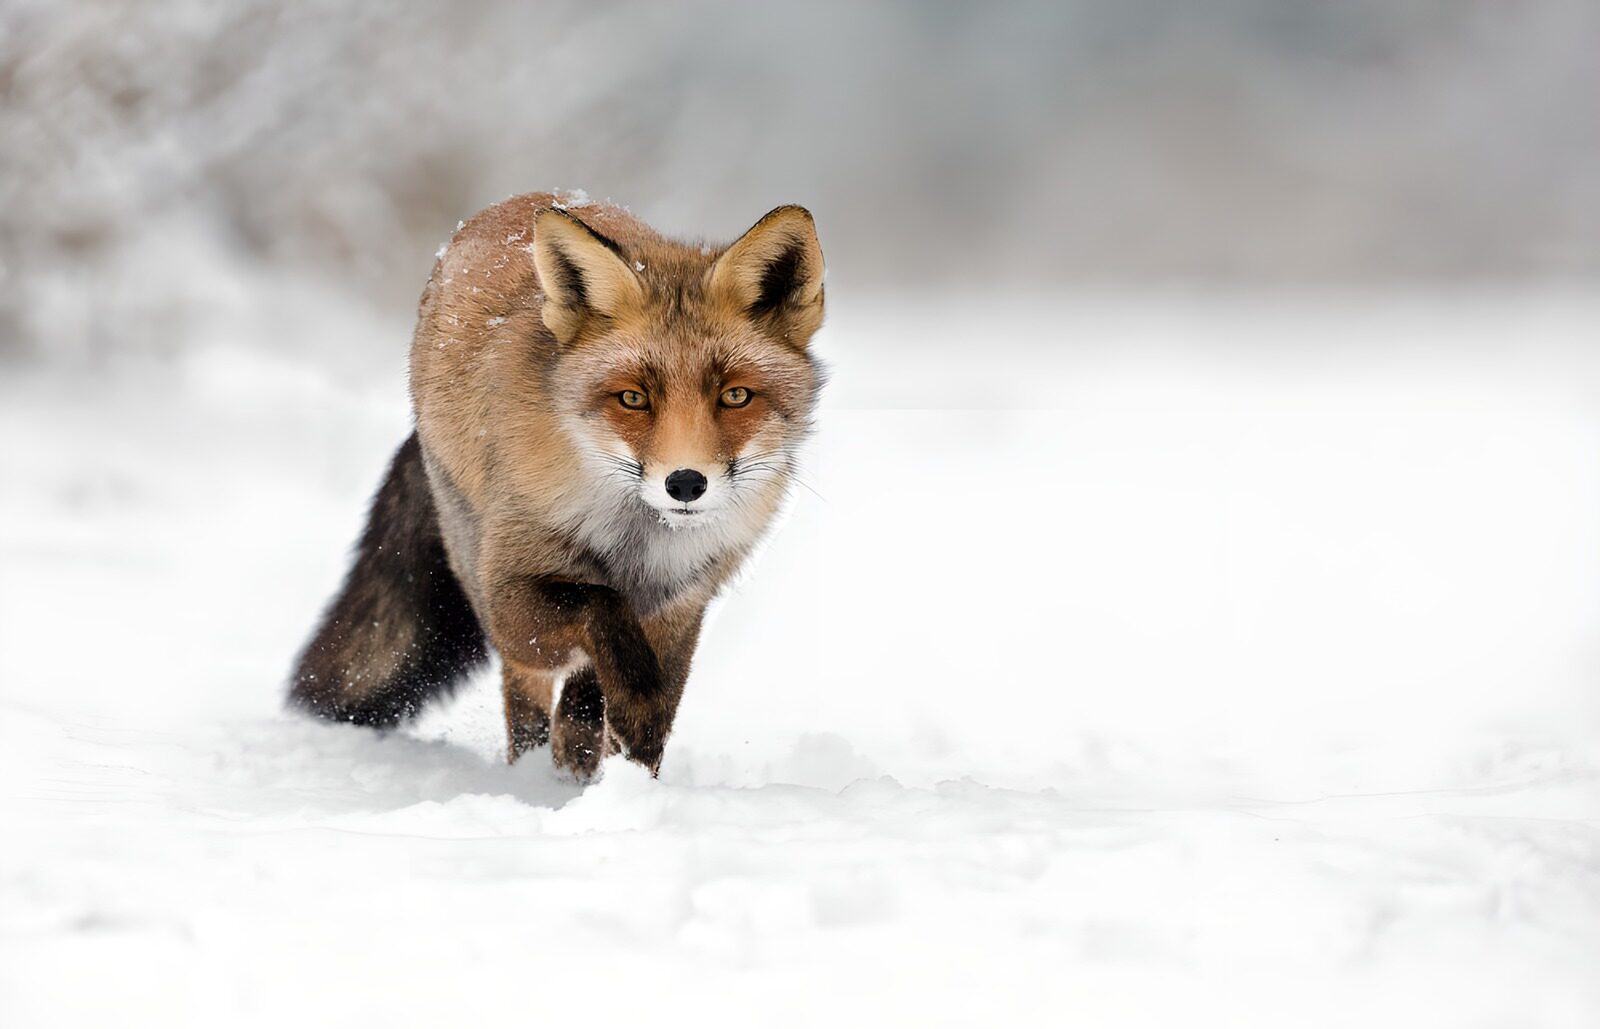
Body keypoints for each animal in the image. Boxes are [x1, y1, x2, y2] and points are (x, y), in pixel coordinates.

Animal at [288, 192, 825, 779]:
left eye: (735, 396)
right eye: (633, 398)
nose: (685, 483)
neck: (635, 545)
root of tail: (518, 203)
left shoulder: (683, 602)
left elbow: (653, 693)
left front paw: (635, 766)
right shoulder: (511, 594)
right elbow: (600, 611)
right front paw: (631, 712)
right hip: (476, 568)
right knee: (527, 695)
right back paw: (535, 770)